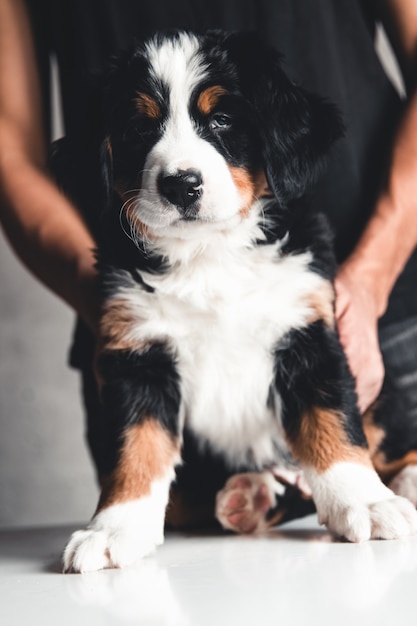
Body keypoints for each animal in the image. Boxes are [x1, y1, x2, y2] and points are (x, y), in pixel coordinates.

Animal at [61, 30, 416, 572]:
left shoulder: (309, 332)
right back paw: (252, 496)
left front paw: (365, 501)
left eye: (222, 120)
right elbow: (135, 448)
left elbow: (332, 423)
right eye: (139, 128)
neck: (209, 255)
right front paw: (112, 528)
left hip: (382, 392)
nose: (181, 184)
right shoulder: (136, 351)